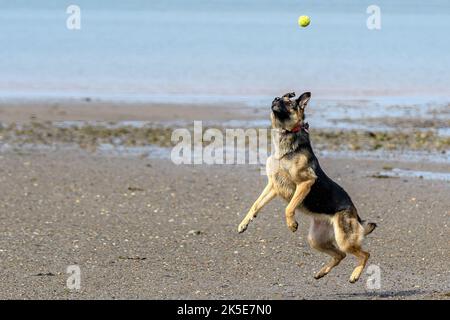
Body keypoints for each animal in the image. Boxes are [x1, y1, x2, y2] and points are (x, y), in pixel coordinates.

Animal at [239, 92, 376, 282]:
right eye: (279, 98)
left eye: (289, 103)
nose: (275, 99)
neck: (286, 135)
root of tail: (356, 214)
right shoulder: (273, 185)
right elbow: (255, 205)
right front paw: (244, 223)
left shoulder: (305, 183)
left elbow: (289, 207)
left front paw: (291, 224)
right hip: (315, 240)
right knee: (340, 255)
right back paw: (322, 272)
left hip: (343, 239)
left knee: (364, 254)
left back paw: (354, 275)